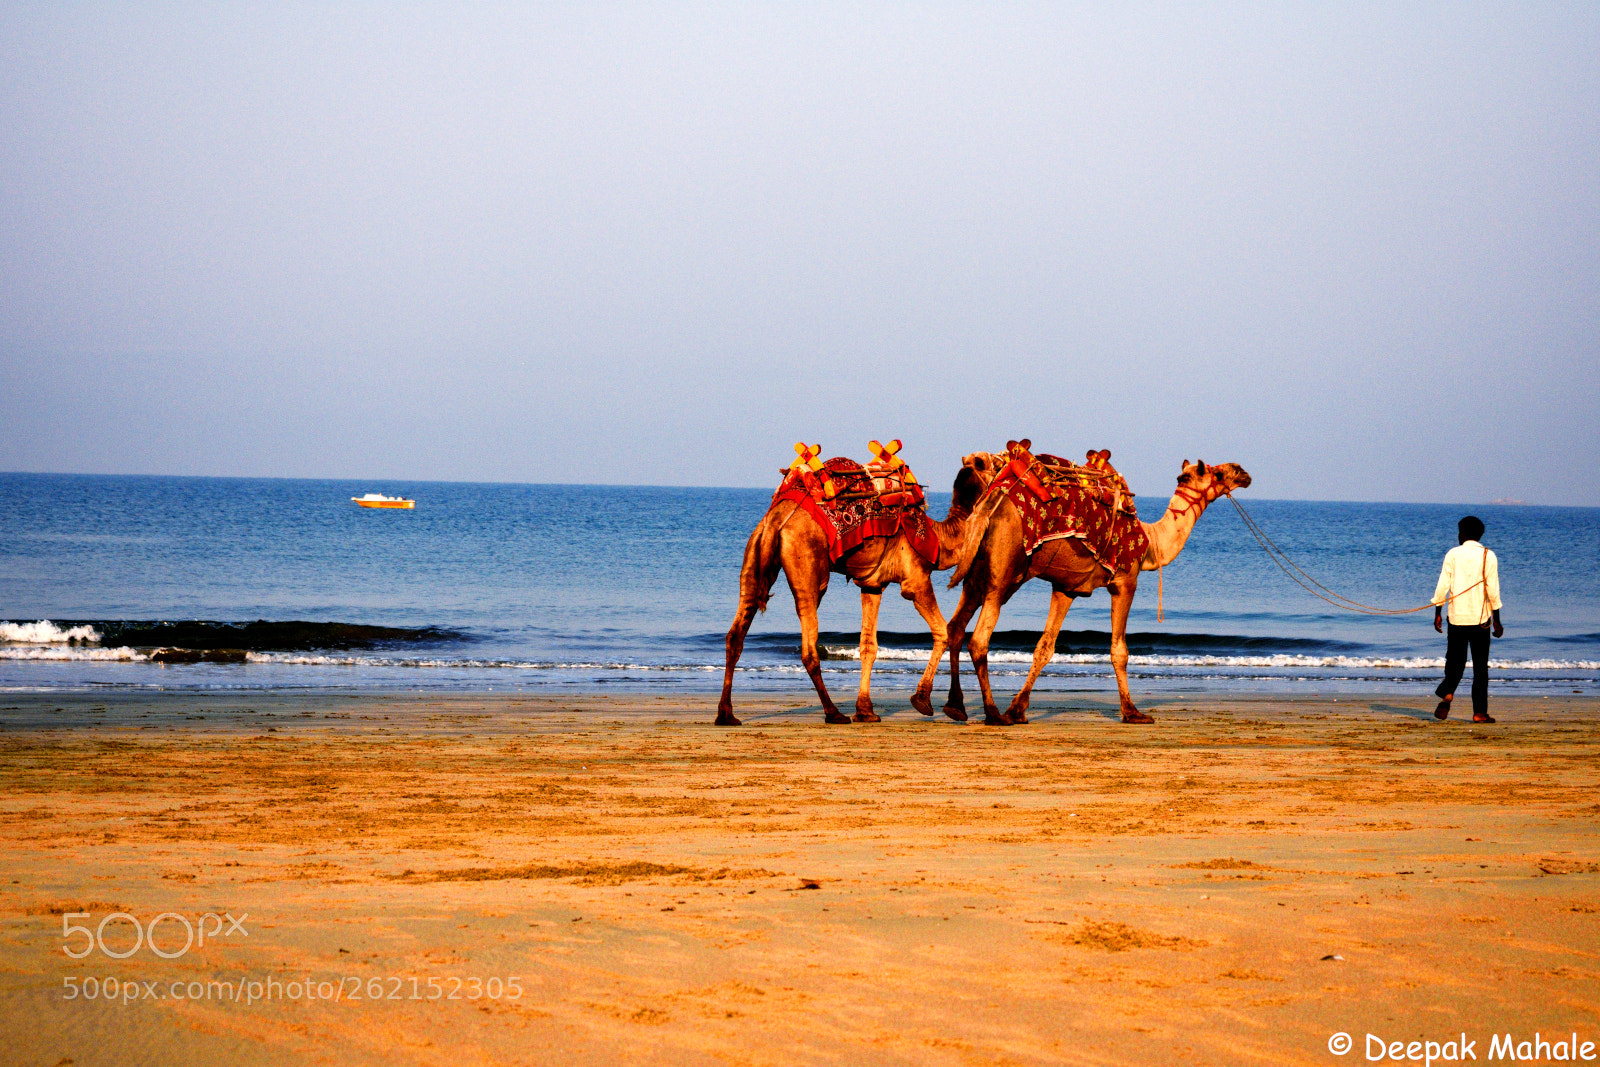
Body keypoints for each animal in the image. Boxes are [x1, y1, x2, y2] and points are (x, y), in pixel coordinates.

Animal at [716, 459, 989, 726]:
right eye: (993, 463)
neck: (939, 538)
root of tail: (776, 519)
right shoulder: (916, 580)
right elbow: (942, 630)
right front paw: (922, 701)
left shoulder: (872, 585)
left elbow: (868, 645)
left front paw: (865, 711)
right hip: (807, 563)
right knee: (809, 647)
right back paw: (833, 713)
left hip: (754, 552)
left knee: (735, 635)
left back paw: (726, 714)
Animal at [941, 451, 1252, 725]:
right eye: (1217, 473)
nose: (1243, 472)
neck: (1150, 543)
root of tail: (987, 506)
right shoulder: (1125, 581)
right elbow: (1119, 651)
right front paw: (1132, 713)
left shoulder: (1066, 588)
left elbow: (1044, 648)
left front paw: (1017, 710)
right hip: (1005, 570)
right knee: (979, 639)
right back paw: (992, 714)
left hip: (976, 571)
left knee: (955, 627)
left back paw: (955, 707)